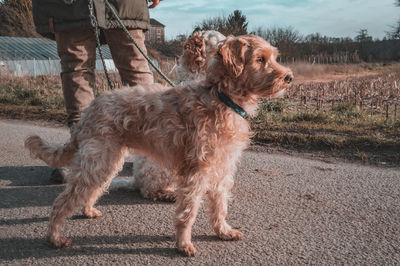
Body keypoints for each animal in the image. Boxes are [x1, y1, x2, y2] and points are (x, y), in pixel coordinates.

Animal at [25, 34, 294, 256]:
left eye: (273, 57)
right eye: (260, 59)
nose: (289, 77)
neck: (220, 97)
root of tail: (89, 110)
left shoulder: (222, 168)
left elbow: (220, 205)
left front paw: (223, 231)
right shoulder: (196, 172)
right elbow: (188, 212)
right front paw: (184, 244)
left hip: (108, 161)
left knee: (92, 190)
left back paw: (89, 210)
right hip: (99, 160)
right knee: (62, 201)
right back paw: (55, 237)